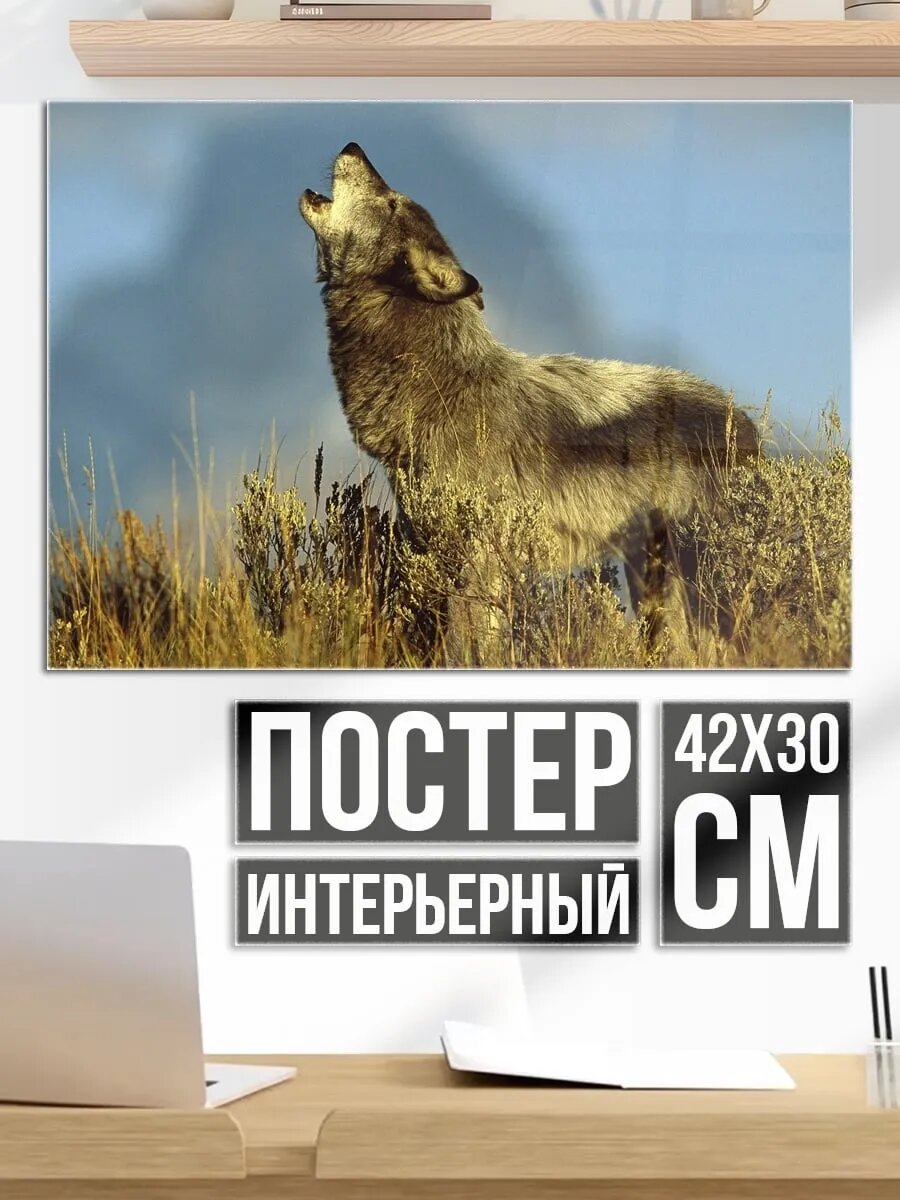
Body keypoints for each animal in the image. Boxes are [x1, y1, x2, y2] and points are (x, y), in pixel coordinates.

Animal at [299, 143, 760, 646]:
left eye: (391, 203)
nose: (353, 147)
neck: (443, 384)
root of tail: (747, 425)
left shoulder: (478, 560)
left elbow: (465, 644)